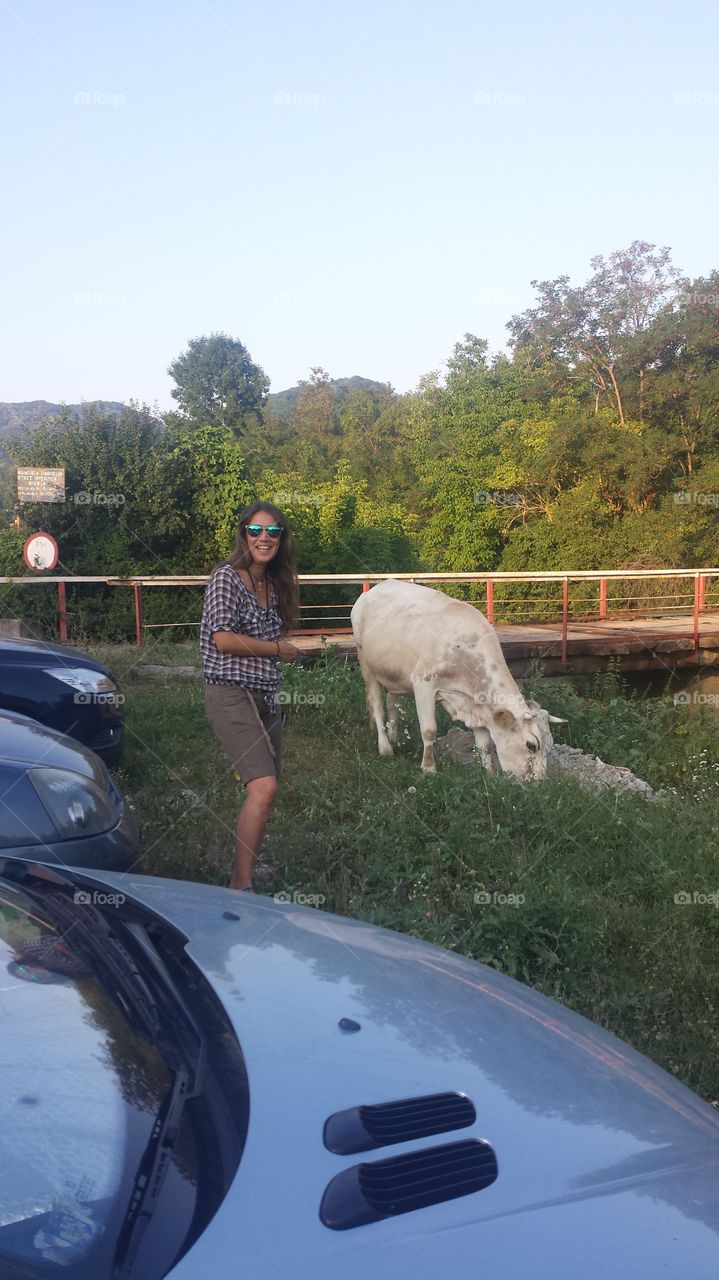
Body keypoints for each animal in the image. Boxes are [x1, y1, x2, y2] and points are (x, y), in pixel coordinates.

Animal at [350, 581, 562, 778]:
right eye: (531, 745)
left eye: (550, 746)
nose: (540, 783)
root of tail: (375, 588)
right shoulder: (423, 684)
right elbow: (429, 730)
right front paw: (429, 768)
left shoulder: (476, 704)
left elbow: (485, 744)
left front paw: (489, 774)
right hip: (365, 661)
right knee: (376, 704)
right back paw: (385, 747)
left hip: (394, 673)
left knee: (391, 702)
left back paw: (394, 737)